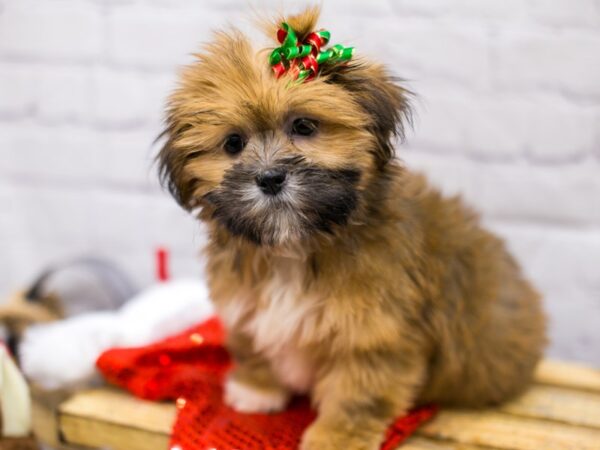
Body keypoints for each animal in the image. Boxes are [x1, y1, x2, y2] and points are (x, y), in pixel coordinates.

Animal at [157, 7, 548, 450]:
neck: (298, 246)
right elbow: (253, 345)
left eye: (304, 126)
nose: (270, 178)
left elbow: (357, 391)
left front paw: (336, 436)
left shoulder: (376, 331)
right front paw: (256, 389)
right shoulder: (245, 306)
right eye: (233, 143)